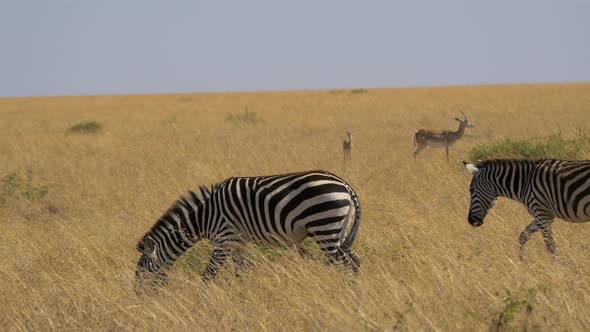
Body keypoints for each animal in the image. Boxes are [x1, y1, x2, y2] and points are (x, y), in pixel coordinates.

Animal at [136, 170, 364, 292]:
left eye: (141, 273)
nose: (140, 300)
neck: (206, 217)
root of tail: (345, 185)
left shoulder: (224, 240)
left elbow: (208, 275)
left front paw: (201, 302)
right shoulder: (239, 243)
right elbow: (241, 274)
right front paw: (244, 299)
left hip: (324, 227)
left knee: (343, 265)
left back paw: (344, 294)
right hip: (338, 232)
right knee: (354, 261)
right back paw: (354, 295)